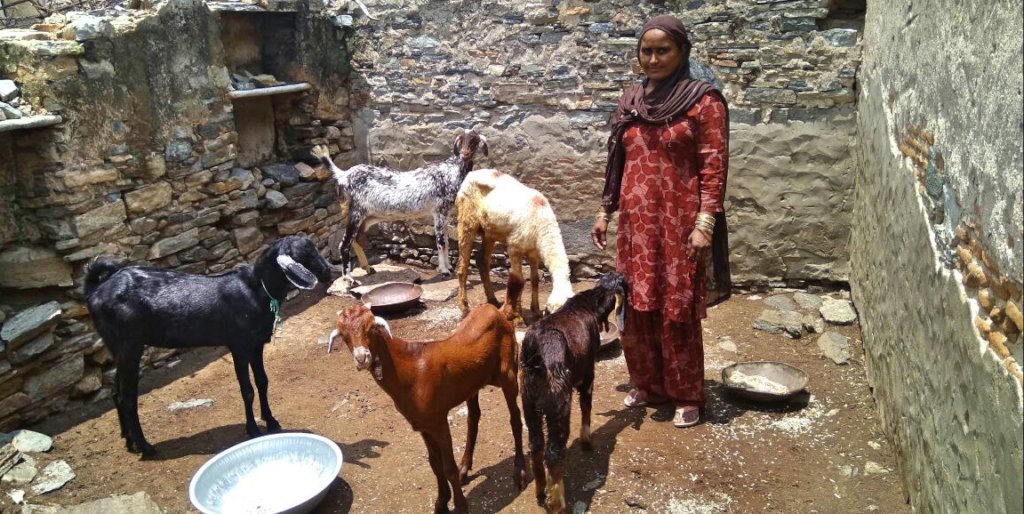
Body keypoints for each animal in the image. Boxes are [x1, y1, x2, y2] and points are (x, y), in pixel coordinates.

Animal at [84, 235, 332, 456]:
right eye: (301, 257)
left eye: (313, 249)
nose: (328, 271)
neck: (255, 291)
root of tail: (95, 291)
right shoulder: (238, 345)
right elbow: (247, 389)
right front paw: (252, 429)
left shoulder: (256, 345)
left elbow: (262, 382)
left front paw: (271, 421)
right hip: (129, 345)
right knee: (127, 398)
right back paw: (145, 447)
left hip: (117, 347)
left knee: (116, 393)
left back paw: (130, 443)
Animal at [313, 129, 488, 282]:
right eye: (461, 140)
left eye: (474, 139)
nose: (465, 154)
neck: (452, 171)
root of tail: (343, 175)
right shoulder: (438, 210)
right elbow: (440, 241)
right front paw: (444, 270)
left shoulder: (443, 213)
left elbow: (444, 239)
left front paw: (448, 268)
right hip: (354, 213)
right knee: (344, 244)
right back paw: (349, 279)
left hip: (365, 218)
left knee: (356, 240)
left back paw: (368, 268)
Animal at [330, 274, 528, 514]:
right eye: (344, 336)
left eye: (371, 329)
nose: (362, 357)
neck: (410, 368)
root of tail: (500, 312)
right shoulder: (421, 424)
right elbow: (435, 466)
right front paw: (441, 502)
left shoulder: (438, 420)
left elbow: (448, 467)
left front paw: (460, 505)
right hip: (471, 384)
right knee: (473, 418)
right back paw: (466, 467)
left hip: (508, 372)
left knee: (515, 418)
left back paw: (519, 472)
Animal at [456, 168, 574, 320]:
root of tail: (471, 173)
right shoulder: (514, 248)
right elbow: (520, 281)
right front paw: (518, 316)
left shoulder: (534, 253)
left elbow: (535, 280)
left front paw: (535, 310)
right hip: (466, 220)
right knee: (463, 266)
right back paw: (464, 307)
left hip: (489, 231)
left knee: (482, 261)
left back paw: (493, 300)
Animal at [520, 272, 627, 513]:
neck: (585, 305)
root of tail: (535, 355)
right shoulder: (587, 376)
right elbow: (586, 408)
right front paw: (587, 442)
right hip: (559, 407)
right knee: (553, 454)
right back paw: (559, 504)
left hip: (528, 405)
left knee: (535, 446)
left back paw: (540, 491)